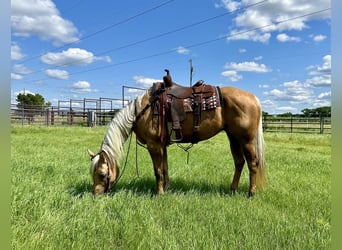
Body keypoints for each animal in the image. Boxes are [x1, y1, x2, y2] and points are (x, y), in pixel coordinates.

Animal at [87, 71, 266, 196]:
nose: (96, 194)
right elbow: (165, 167)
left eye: (101, 174)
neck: (142, 110)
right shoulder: (162, 145)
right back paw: (232, 189)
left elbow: (157, 170)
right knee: (239, 162)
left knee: (253, 163)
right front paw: (167, 188)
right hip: (233, 137)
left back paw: (251, 193)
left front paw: (159, 193)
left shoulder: (154, 145)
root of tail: (254, 98)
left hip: (246, 140)